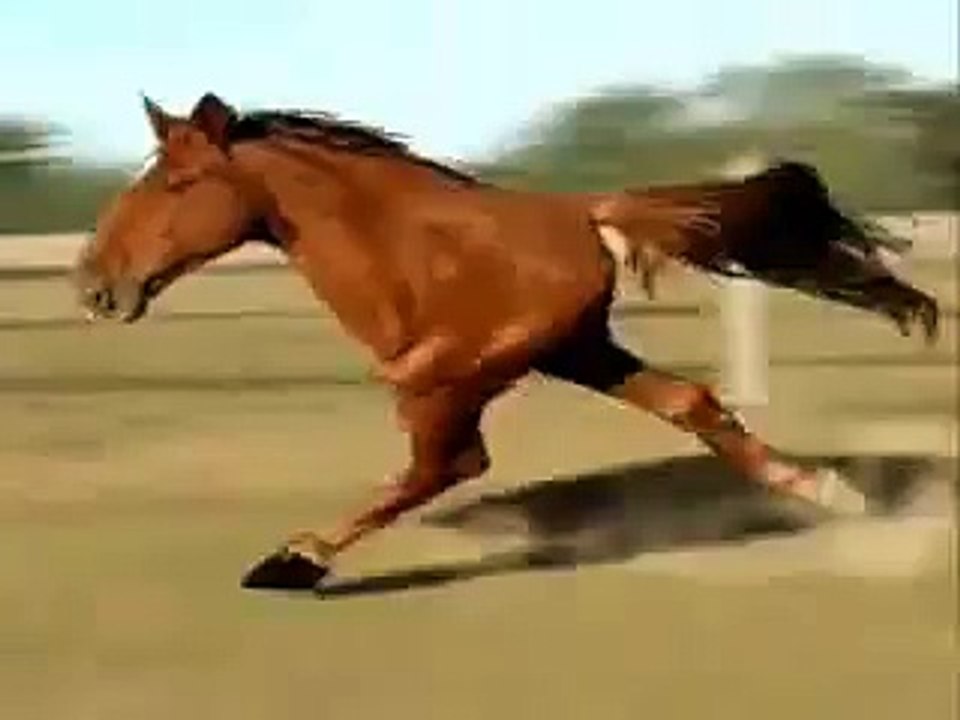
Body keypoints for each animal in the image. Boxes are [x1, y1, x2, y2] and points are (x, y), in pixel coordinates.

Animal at [74, 92, 940, 590]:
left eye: (179, 183)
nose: (95, 286)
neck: (397, 247)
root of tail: (588, 212)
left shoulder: (458, 370)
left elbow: (443, 457)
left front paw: (292, 560)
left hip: (529, 355)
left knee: (454, 458)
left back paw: (292, 560)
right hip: (580, 351)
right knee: (691, 402)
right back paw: (832, 493)